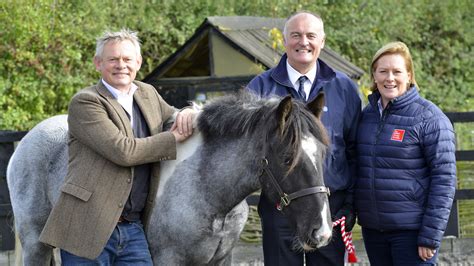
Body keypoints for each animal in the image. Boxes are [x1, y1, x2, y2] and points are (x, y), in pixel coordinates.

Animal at [8, 91, 334, 264]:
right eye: (287, 158)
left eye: (322, 154)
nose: (321, 232)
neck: (205, 188)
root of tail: (26, 141)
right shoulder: (168, 259)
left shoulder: (221, 258)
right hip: (36, 243)